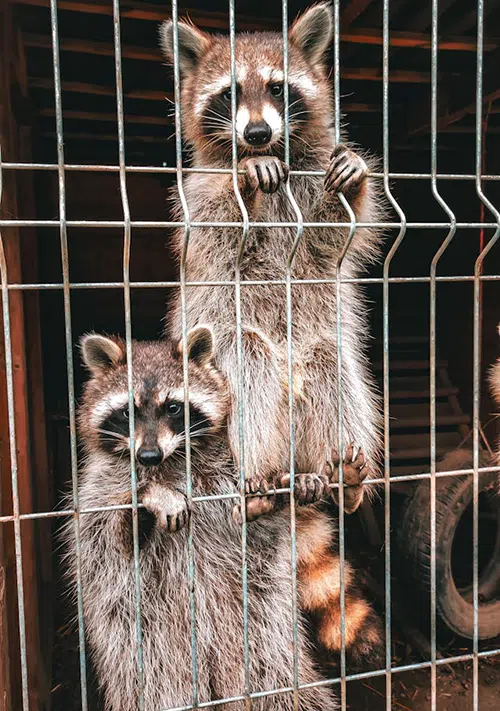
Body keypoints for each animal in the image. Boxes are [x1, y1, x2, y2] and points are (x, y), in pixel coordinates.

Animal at [64, 327, 338, 711]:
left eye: (173, 407)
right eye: (127, 412)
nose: (148, 455)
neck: (171, 460)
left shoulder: (221, 468)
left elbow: (258, 520)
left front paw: (286, 486)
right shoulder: (98, 489)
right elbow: (112, 541)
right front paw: (150, 497)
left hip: (258, 622)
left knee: (274, 679)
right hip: (146, 639)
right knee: (159, 687)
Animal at [160, 2, 384, 666]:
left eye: (280, 89)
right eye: (230, 93)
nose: (257, 135)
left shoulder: (313, 194)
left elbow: (334, 242)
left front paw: (354, 181)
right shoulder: (196, 202)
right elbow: (217, 233)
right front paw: (243, 172)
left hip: (323, 382)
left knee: (335, 367)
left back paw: (337, 478)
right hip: (228, 375)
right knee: (251, 359)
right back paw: (257, 474)